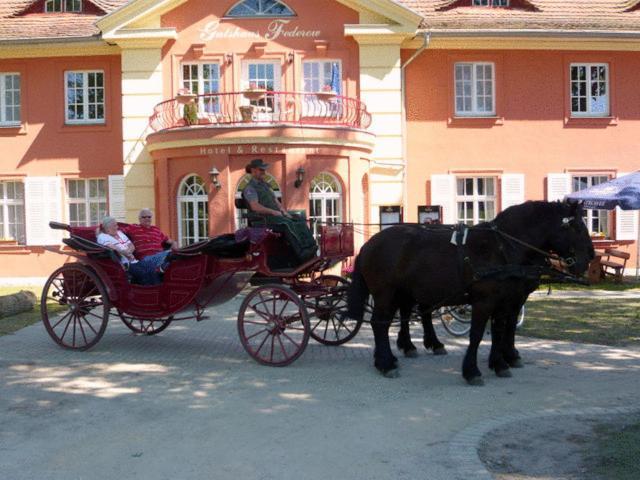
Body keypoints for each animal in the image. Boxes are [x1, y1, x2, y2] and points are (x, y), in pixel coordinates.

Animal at [348, 201, 592, 384]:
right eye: (577, 227)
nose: (589, 258)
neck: (502, 248)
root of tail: (369, 244)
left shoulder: (506, 300)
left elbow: (501, 330)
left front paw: (501, 362)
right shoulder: (486, 301)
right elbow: (477, 334)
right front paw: (472, 370)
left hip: (403, 292)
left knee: (401, 317)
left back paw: (399, 352)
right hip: (385, 294)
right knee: (380, 324)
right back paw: (386, 363)